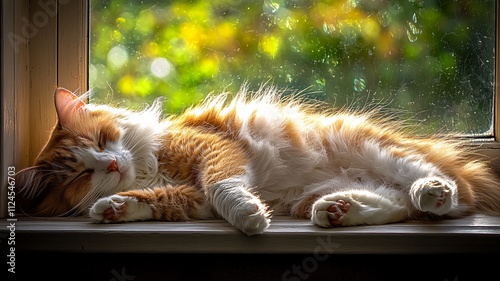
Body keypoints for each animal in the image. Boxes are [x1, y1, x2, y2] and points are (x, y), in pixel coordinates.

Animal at [14, 85, 500, 234]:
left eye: (100, 140)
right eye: (80, 174)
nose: (112, 166)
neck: (149, 167)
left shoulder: (213, 151)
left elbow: (223, 188)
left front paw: (249, 216)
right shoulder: (191, 199)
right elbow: (156, 202)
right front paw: (113, 207)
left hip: (379, 150)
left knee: (449, 194)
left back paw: (431, 190)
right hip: (311, 197)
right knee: (399, 206)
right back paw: (339, 210)